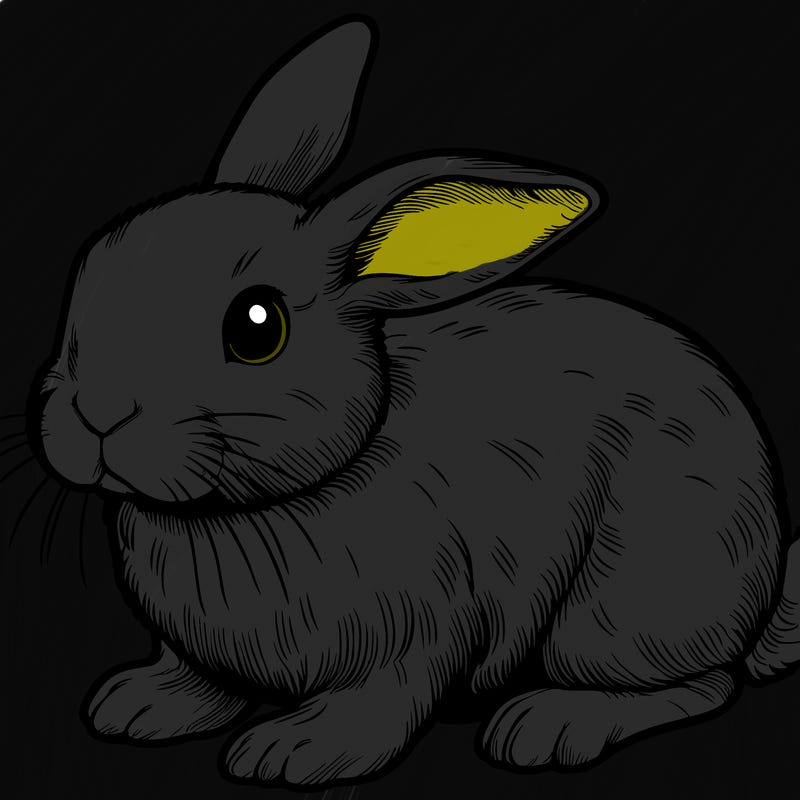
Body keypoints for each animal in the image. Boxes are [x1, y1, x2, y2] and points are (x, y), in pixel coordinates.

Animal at [31, 15, 800, 789]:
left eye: (256, 327)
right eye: (92, 267)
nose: (96, 415)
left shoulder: (416, 632)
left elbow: (382, 700)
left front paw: (295, 752)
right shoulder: (206, 654)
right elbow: (199, 679)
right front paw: (136, 705)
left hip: (625, 602)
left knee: (700, 683)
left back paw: (549, 724)